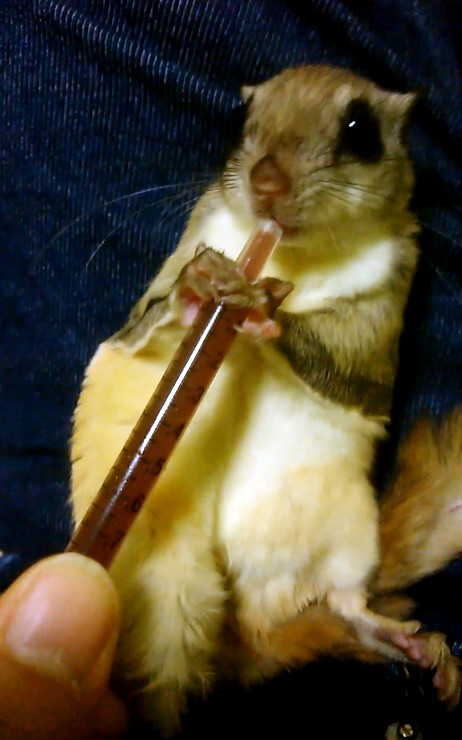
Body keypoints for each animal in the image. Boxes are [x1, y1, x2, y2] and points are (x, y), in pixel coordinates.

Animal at [71, 65, 436, 733]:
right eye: (240, 121)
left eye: (360, 129)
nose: (266, 182)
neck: (295, 255)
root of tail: (259, 616)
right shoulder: (170, 270)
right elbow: (147, 317)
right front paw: (201, 288)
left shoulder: (383, 324)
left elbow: (341, 362)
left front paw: (266, 306)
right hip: (171, 578)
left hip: (351, 536)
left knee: (348, 602)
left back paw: (411, 645)